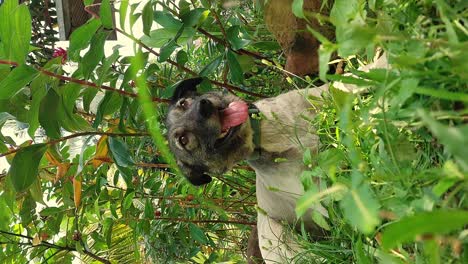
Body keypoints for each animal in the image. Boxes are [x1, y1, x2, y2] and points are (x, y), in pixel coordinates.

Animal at [166, 54, 390, 262]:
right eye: (184, 140)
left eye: (184, 103)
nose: (203, 107)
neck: (265, 136)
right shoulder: (321, 194)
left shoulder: (329, 90)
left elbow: (361, 75)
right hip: (278, 236)